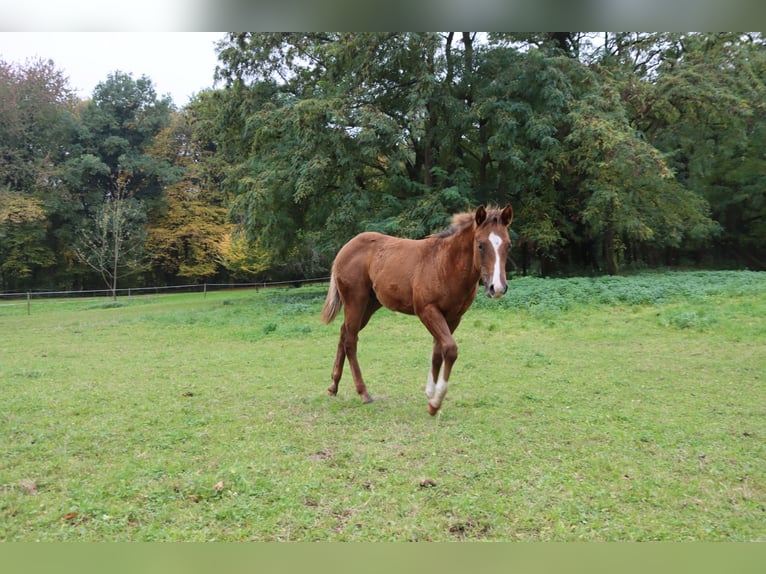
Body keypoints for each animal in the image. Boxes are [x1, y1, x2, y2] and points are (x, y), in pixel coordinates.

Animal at [320, 204, 513, 415]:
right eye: (480, 244)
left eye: (508, 245)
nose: (497, 288)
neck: (445, 265)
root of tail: (345, 248)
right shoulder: (427, 311)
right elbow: (450, 349)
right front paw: (435, 403)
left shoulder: (453, 317)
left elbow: (438, 352)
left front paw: (430, 394)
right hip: (355, 301)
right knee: (350, 340)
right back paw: (363, 393)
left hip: (370, 305)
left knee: (344, 332)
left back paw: (333, 386)